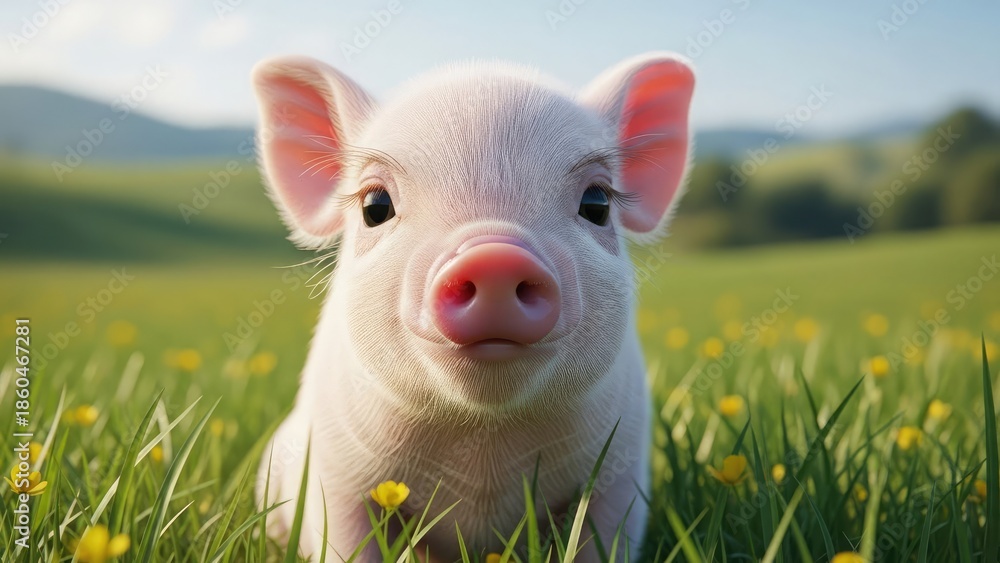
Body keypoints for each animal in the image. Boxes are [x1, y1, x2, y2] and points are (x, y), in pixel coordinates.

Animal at [252, 51, 695, 561]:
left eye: (597, 203)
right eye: (375, 205)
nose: (494, 256)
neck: (483, 445)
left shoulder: (621, 468)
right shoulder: (336, 471)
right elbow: (345, 541)